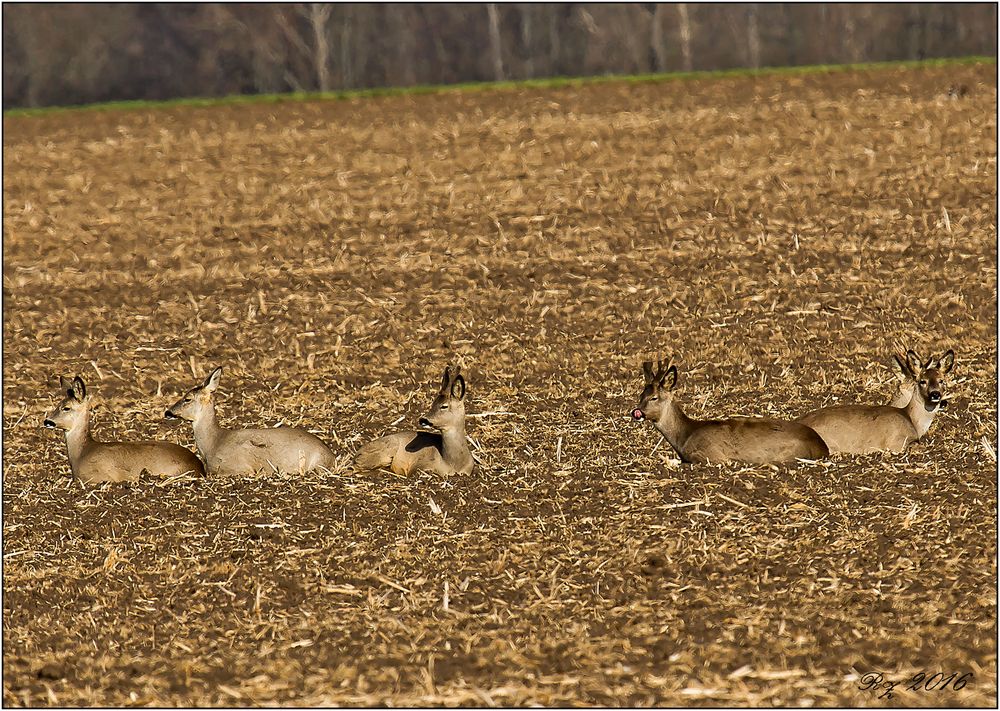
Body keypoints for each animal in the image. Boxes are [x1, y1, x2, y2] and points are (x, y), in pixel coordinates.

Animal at [632, 358, 828, 464]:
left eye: (654, 397)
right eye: (641, 395)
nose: (636, 412)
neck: (684, 436)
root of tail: (821, 446)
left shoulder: (710, 455)